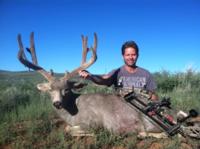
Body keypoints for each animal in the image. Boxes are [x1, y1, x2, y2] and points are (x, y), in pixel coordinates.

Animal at [17, 32, 162, 137]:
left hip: (149, 122)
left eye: (66, 90)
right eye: (50, 90)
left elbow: (68, 129)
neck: (72, 113)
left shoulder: (93, 122)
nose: (57, 103)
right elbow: (67, 127)